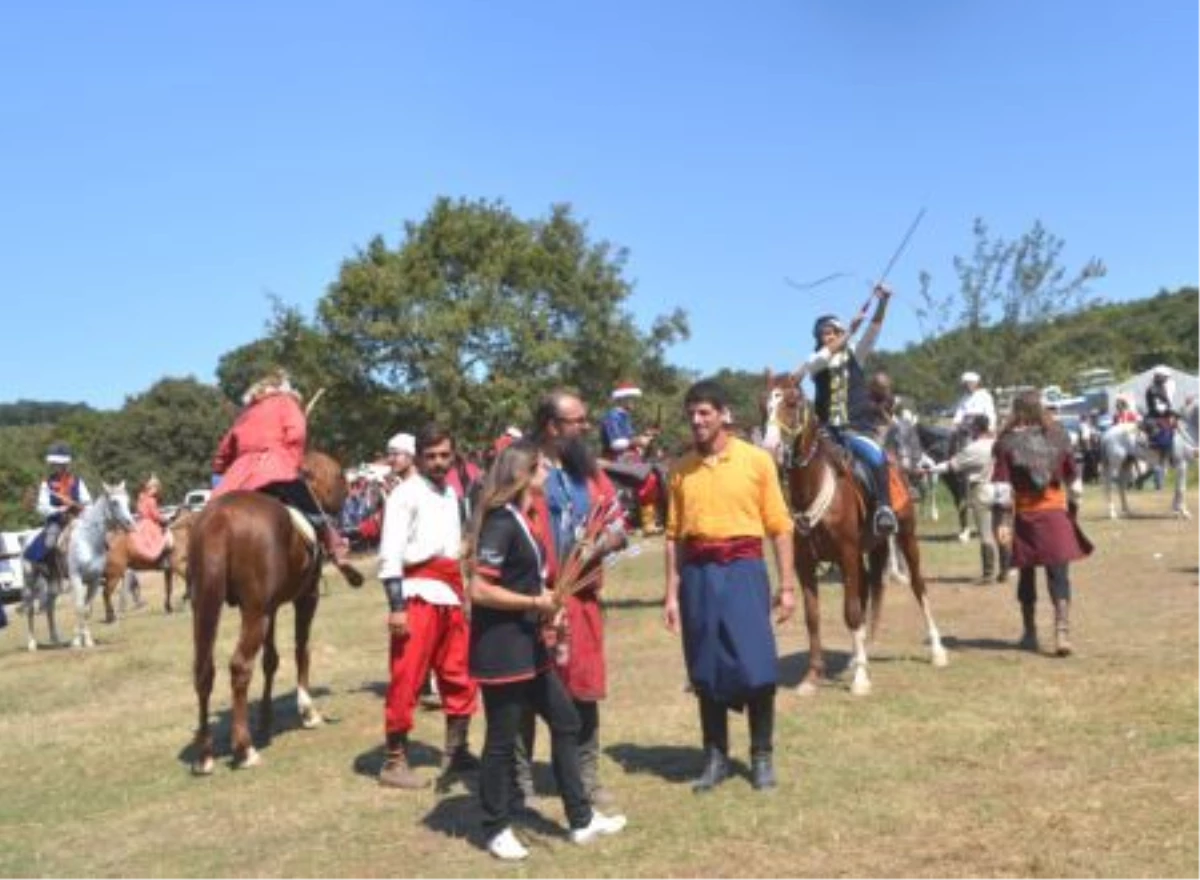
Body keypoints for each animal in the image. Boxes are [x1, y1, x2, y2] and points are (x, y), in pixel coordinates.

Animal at [21, 485, 135, 648]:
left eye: (127, 500)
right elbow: (79, 606)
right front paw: (76, 640)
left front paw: (87, 640)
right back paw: (31, 643)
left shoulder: (94, 581)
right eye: (114, 502)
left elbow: (87, 609)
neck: (88, 541)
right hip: (30, 580)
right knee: (30, 607)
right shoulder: (76, 578)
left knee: (50, 606)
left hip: (53, 581)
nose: (130, 523)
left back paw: (55, 639)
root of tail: (26, 538)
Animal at [188, 449, 355, 773]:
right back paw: (244, 749)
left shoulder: (271, 608)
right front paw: (307, 710)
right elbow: (302, 649)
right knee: (240, 666)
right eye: (341, 476)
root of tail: (218, 520)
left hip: (209, 607)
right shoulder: (307, 598)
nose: (346, 499)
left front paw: (265, 718)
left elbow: (271, 660)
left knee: (204, 670)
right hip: (255, 613)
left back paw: (205, 755)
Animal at [758, 369, 945, 691]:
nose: (770, 449)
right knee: (870, 588)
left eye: (792, 403)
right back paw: (858, 656)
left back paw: (936, 650)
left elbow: (852, 610)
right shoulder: (805, 562)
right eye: (763, 405)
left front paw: (860, 679)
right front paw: (813, 676)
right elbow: (813, 616)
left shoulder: (846, 553)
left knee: (918, 586)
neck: (814, 486)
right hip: (868, 549)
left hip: (905, 537)